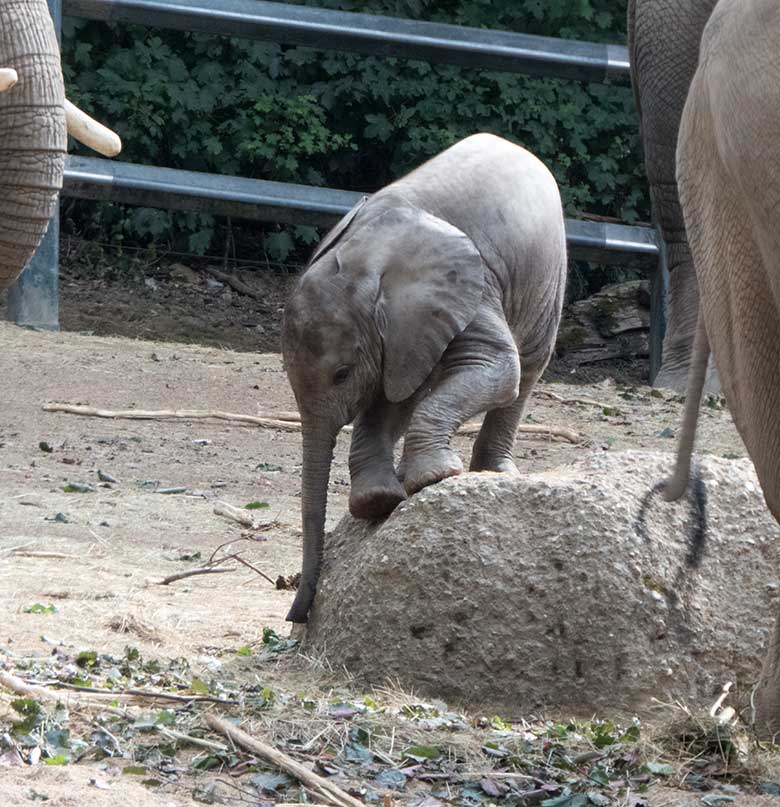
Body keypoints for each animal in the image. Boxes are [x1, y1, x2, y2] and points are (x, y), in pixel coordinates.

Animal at [284, 134, 564, 624]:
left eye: (341, 374)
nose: (296, 615)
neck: (367, 257)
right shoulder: (399, 328)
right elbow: (393, 398)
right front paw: (379, 501)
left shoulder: (469, 289)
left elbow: (497, 368)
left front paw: (434, 479)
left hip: (549, 272)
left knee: (528, 368)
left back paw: (494, 472)